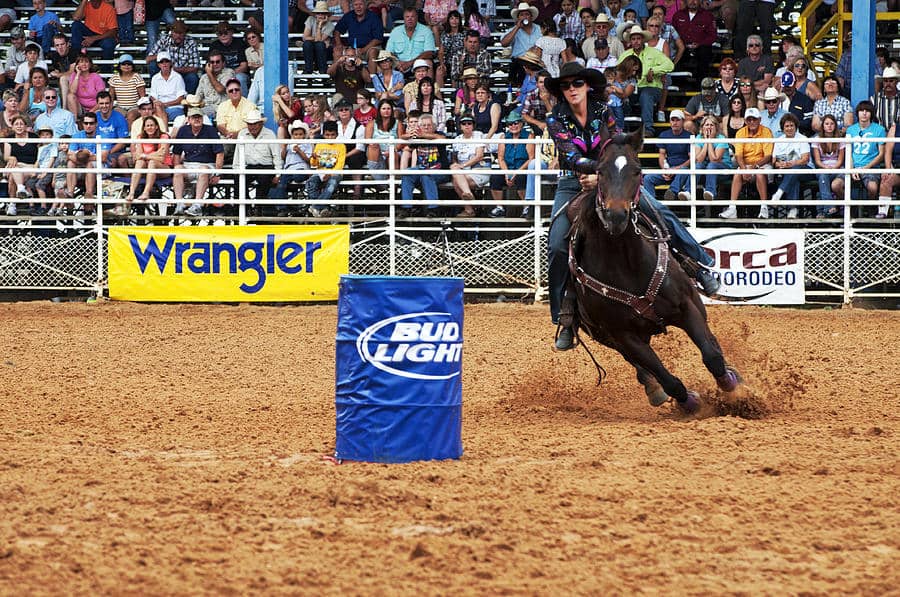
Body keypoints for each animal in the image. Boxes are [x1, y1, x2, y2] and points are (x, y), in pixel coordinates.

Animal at [564, 129, 740, 414]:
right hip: (608, 337)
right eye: (600, 171)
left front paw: (735, 389)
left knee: (712, 343)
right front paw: (690, 403)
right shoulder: (622, 335)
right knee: (642, 369)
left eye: (637, 171)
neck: (627, 263)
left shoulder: (687, 306)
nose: (616, 216)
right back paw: (653, 390)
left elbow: (711, 356)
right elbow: (668, 379)